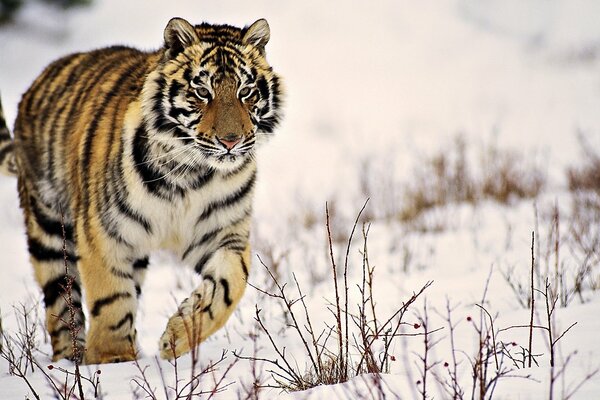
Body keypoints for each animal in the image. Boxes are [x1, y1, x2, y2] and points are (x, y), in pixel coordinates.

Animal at [0, 17, 284, 364]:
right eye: (202, 92)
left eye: (246, 92)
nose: (231, 141)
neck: (192, 173)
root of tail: (38, 81)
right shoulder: (104, 232)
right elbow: (111, 298)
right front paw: (114, 360)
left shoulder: (223, 232)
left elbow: (230, 285)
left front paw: (177, 336)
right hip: (50, 231)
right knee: (61, 304)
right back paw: (72, 360)